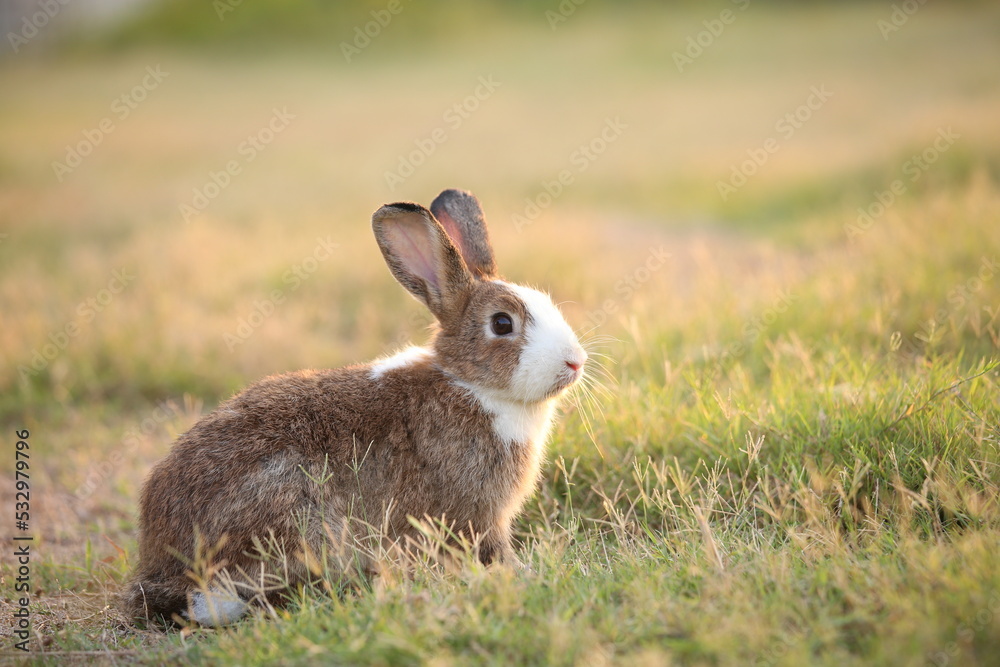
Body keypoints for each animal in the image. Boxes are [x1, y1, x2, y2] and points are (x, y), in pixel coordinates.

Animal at [122, 189, 587, 626]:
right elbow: (491, 548)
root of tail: (163, 568)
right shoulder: (476, 511)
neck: (471, 384)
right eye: (502, 324)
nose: (575, 362)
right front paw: (523, 573)